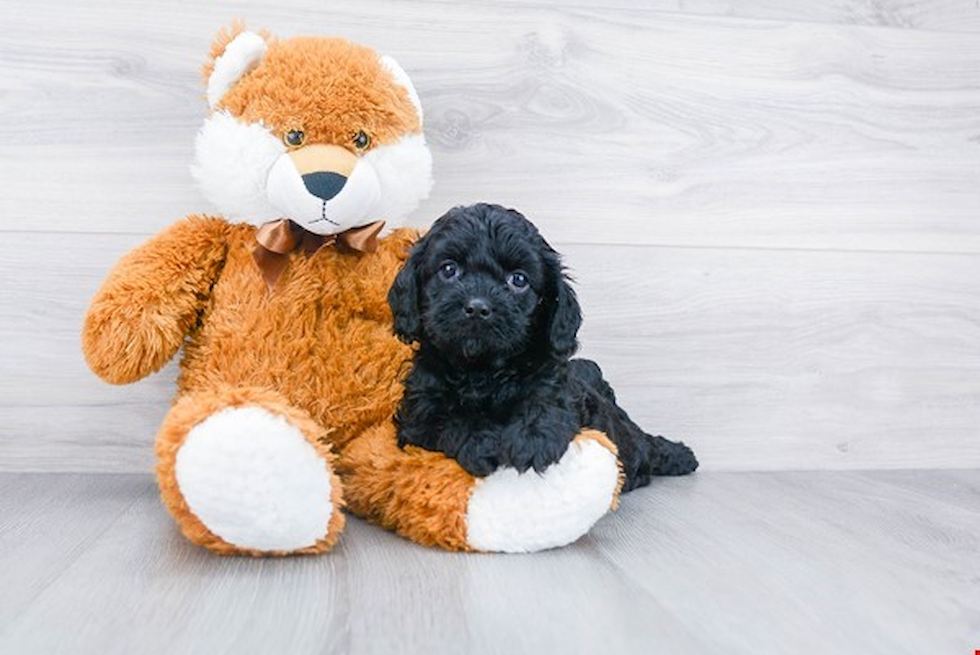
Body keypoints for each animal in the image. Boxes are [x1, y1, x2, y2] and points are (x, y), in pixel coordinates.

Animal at [386, 205, 700, 492]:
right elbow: (447, 422)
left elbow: (547, 401)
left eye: (519, 280)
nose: (477, 307)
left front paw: (531, 439)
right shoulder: (417, 420)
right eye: (449, 269)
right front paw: (481, 442)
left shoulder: (556, 383)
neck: (481, 370)